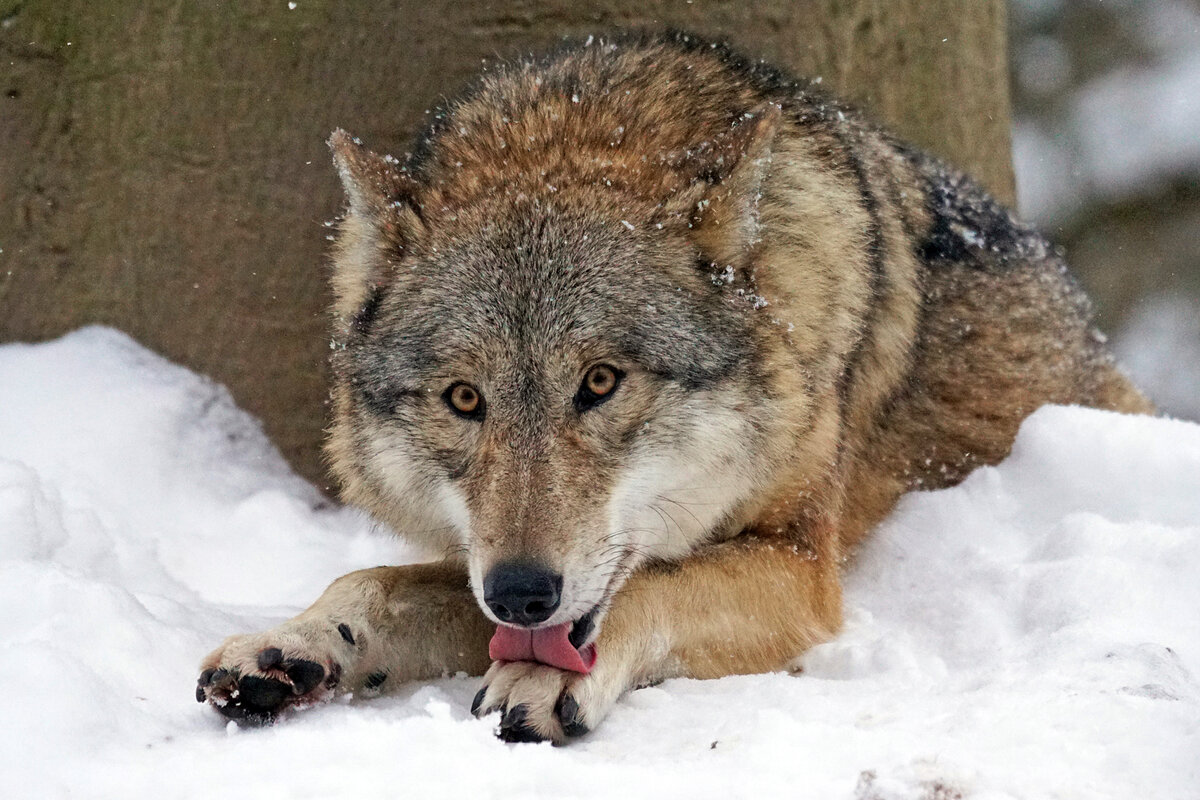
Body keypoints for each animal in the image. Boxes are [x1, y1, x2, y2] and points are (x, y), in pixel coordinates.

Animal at [196, 31, 1152, 743]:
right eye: (465, 399)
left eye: (600, 382)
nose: (521, 594)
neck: (574, 133)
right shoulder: (479, 566)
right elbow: (370, 582)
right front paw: (289, 646)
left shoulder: (803, 567)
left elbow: (651, 587)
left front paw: (536, 675)